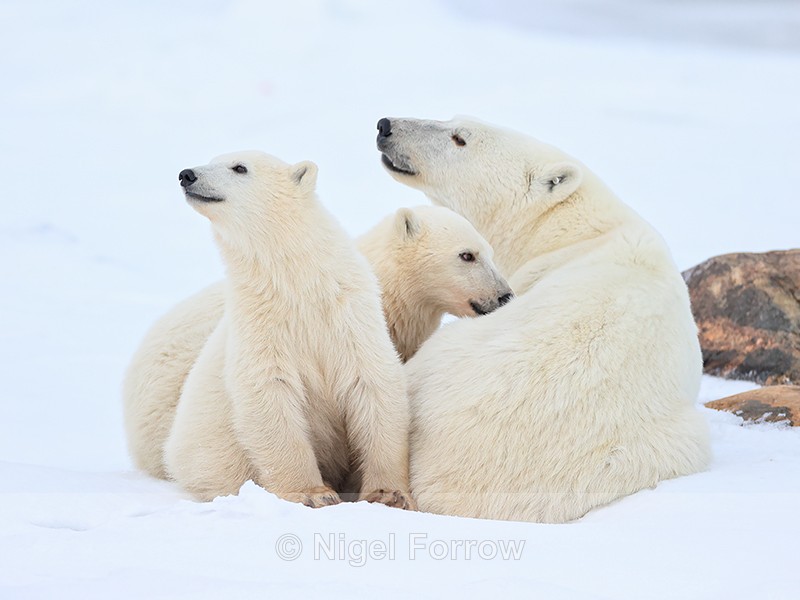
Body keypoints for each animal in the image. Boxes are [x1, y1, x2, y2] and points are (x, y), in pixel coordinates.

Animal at [162, 150, 413, 508]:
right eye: (211, 160)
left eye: (239, 167)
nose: (187, 175)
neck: (298, 284)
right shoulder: (261, 322)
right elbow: (270, 393)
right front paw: (313, 493)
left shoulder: (350, 313)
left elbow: (372, 383)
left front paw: (389, 494)